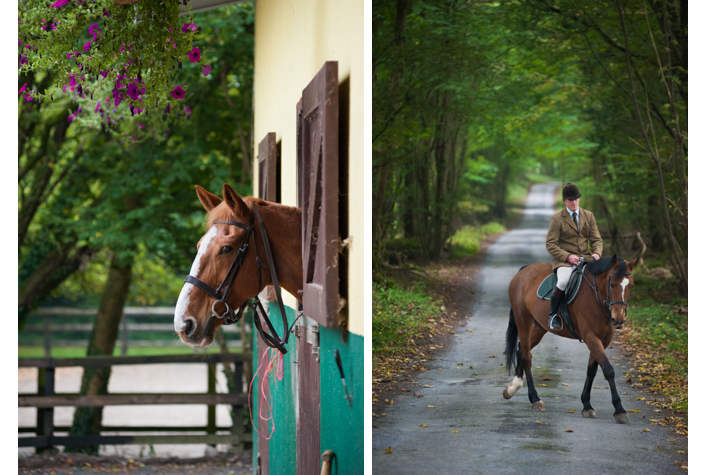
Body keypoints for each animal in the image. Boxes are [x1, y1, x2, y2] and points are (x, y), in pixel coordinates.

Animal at [506, 256, 640, 424]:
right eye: (612, 284)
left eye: (631, 285)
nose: (619, 319)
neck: (596, 296)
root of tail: (525, 270)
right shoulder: (591, 337)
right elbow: (608, 370)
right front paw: (619, 410)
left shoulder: (603, 340)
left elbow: (592, 370)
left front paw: (587, 405)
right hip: (523, 322)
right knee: (527, 356)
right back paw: (535, 399)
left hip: (539, 327)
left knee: (522, 351)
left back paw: (512, 388)